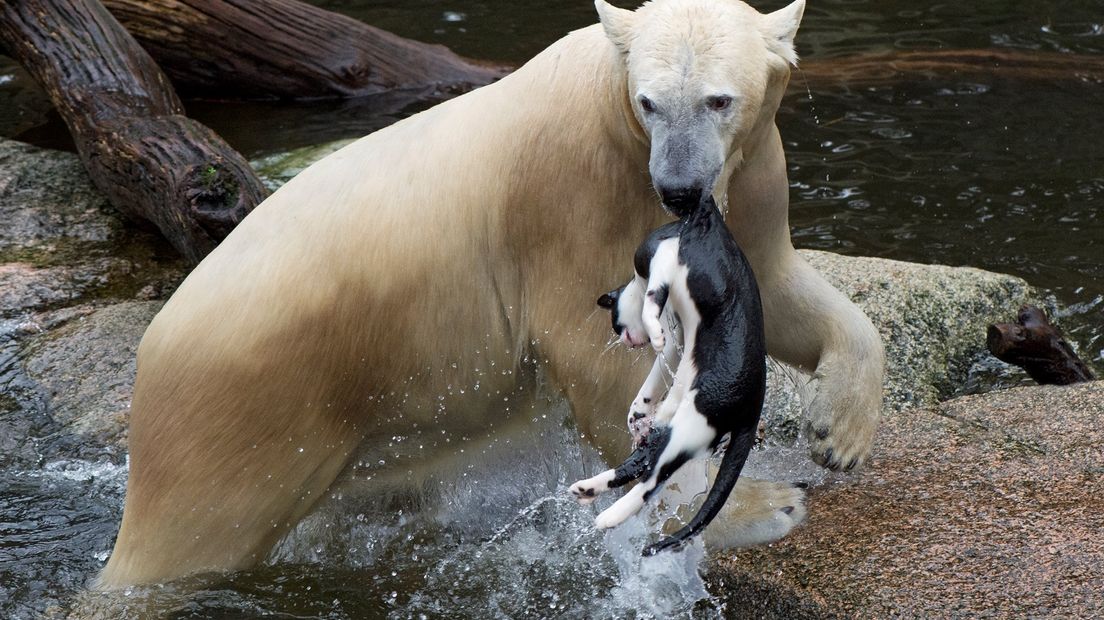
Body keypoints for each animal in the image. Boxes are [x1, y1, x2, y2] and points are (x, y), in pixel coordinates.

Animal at [569, 194, 768, 556]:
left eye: (616, 325)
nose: (627, 340)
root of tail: (753, 409)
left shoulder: (663, 265)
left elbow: (652, 300)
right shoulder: (678, 341)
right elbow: (657, 373)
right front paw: (638, 413)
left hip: (694, 421)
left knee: (654, 479)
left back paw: (609, 515)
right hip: (677, 429)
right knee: (643, 464)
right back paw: (589, 490)